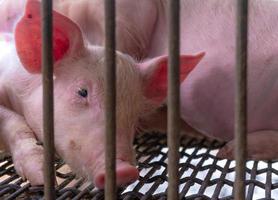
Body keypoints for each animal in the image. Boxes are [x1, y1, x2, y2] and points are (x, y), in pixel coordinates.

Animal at [0, 0, 278, 188]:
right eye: (82, 92)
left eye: (132, 113)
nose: (124, 170)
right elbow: (13, 123)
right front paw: (40, 177)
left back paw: (229, 151)